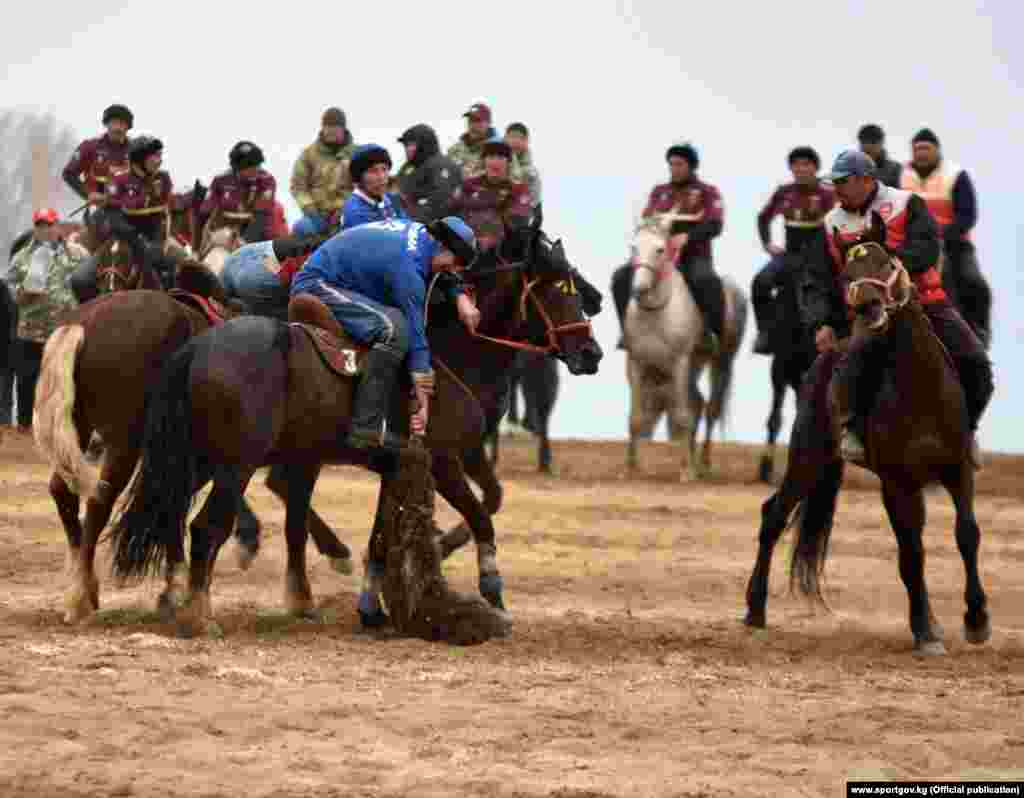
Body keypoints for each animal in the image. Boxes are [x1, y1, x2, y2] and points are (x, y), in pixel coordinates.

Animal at [111, 230, 598, 635]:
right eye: (557, 290)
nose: (590, 351)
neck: (448, 352)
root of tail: (197, 347)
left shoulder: (394, 468)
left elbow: (380, 540)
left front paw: (370, 610)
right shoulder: (443, 463)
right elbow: (481, 518)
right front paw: (493, 593)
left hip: (197, 459)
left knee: (171, 512)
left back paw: (178, 598)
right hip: (235, 464)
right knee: (206, 527)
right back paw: (201, 614)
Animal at [618, 212, 749, 481]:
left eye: (660, 249)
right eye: (634, 247)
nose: (639, 288)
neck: (655, 313)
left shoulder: (679, 363)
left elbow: (681, 415)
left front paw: (686, 471)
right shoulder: (635, 363)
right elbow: (635, 417)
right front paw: (630, 468)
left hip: (721, 362)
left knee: (710, 409)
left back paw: (703, 464)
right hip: (695, 364)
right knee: (698, 403)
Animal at [749, 234, 987, 651]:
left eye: (887, 263)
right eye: (847, 274)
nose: (868, 306)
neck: (921, 385)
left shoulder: (957, 470)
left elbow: (966, 535)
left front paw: (975, 620)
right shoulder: (896, 483)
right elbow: (911, 553)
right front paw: (924, 631)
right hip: (808, 456)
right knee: (774, 515)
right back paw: (755, 609)